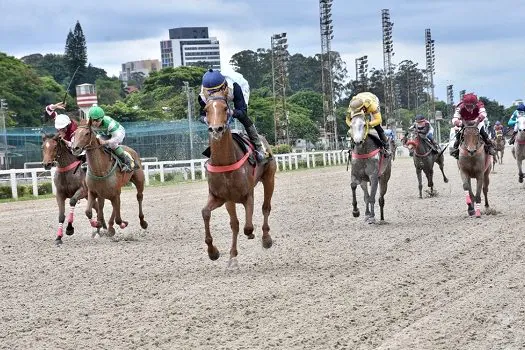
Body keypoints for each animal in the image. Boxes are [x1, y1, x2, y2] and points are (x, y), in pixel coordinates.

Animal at [200, 94, 276, 266]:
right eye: (206, 110)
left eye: (225, 108)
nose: (216, 129)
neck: (225, 163)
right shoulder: (221, 197)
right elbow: (206, 213)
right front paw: (213, 252)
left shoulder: (248, 195)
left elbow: (248, 226)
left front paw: (253, 235)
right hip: (230, 200)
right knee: (234, 224)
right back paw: (233, 253)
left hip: (269, 178)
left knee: (266, 208)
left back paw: (266, 238)